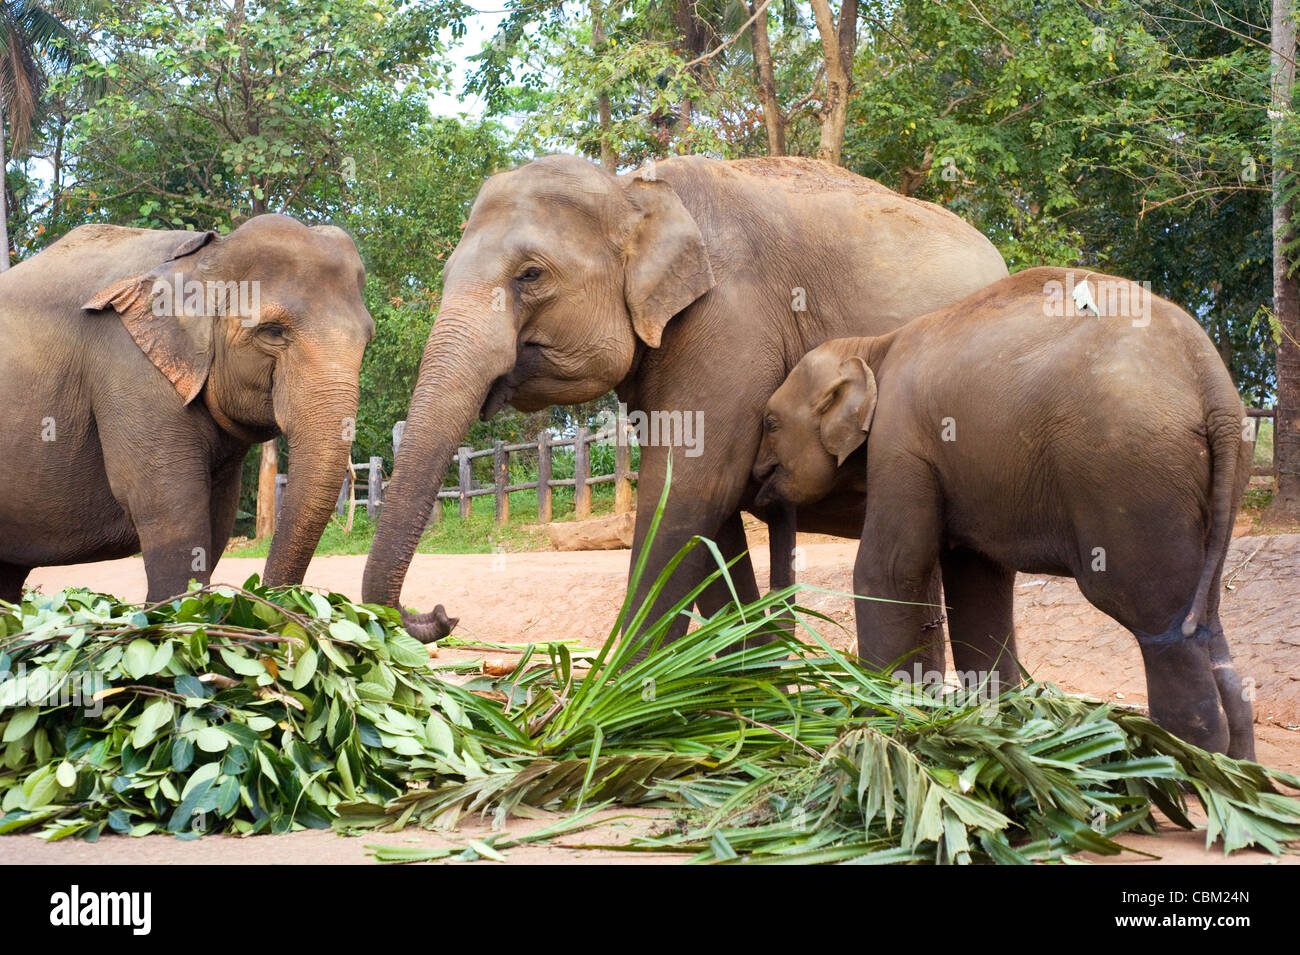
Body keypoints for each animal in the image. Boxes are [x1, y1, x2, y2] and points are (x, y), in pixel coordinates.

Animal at [1, 216, 377, 605]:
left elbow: (218, 521)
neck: (203, 254)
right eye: (272, 332)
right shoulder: (131, 370)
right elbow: (172, 517)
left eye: (368, 338)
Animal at [361, 155, 1008, 641]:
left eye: (531, 275)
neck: (632, 190)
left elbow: (690, 489)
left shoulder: (731, 320)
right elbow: (709, 512)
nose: (442, 613)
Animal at [759, 268, 1253, 764]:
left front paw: (874, 725)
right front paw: (993, 724)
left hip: (1131, 473)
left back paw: (1187, 762)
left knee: (1156, 620)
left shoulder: (901, 442)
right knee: (1208, 623)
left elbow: (890, 570)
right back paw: (1237, 768)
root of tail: (1212, 384)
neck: (872, 346)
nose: (760, 482)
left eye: (769, 423)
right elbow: (977, 579)